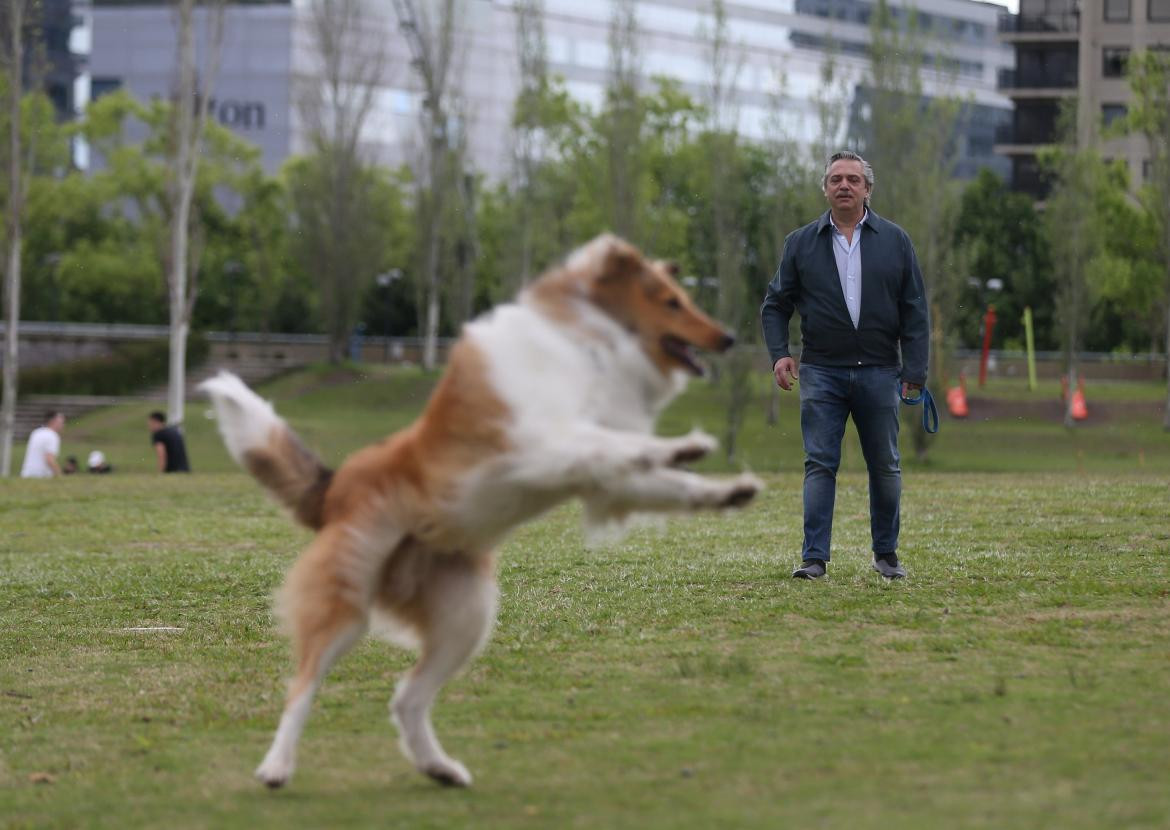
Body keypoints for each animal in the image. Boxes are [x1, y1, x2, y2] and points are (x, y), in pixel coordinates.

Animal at [201, 232, 762, 791]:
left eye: (684, 297)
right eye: (671, 302)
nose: (730, 338)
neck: (589, 347)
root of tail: (335, 485)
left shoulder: (602, 478)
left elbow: (657, 476)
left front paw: (729, 490)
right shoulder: (542, 441)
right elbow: (613, 442)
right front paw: (685, 445)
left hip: (465, 618)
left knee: (406, 697)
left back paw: (439, 767)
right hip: (346, 604)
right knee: (302, 687)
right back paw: (276, 767)